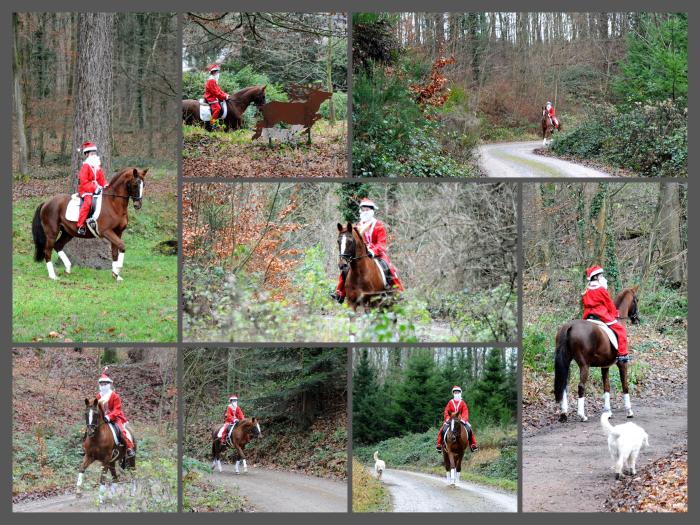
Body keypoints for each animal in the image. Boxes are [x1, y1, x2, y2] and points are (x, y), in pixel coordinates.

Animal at [552, 286, 640, 422]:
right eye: (636, 300)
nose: (637, 319)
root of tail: (569, 326)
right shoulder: (622, 363)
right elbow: (625, 385)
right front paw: (629, 411)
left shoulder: (605, 366)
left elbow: (606, 387)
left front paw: (608, 412)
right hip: (584, 365)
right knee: (581, 386)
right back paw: (582, 415)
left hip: (566, 361)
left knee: (564, 386)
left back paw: (563, 414)